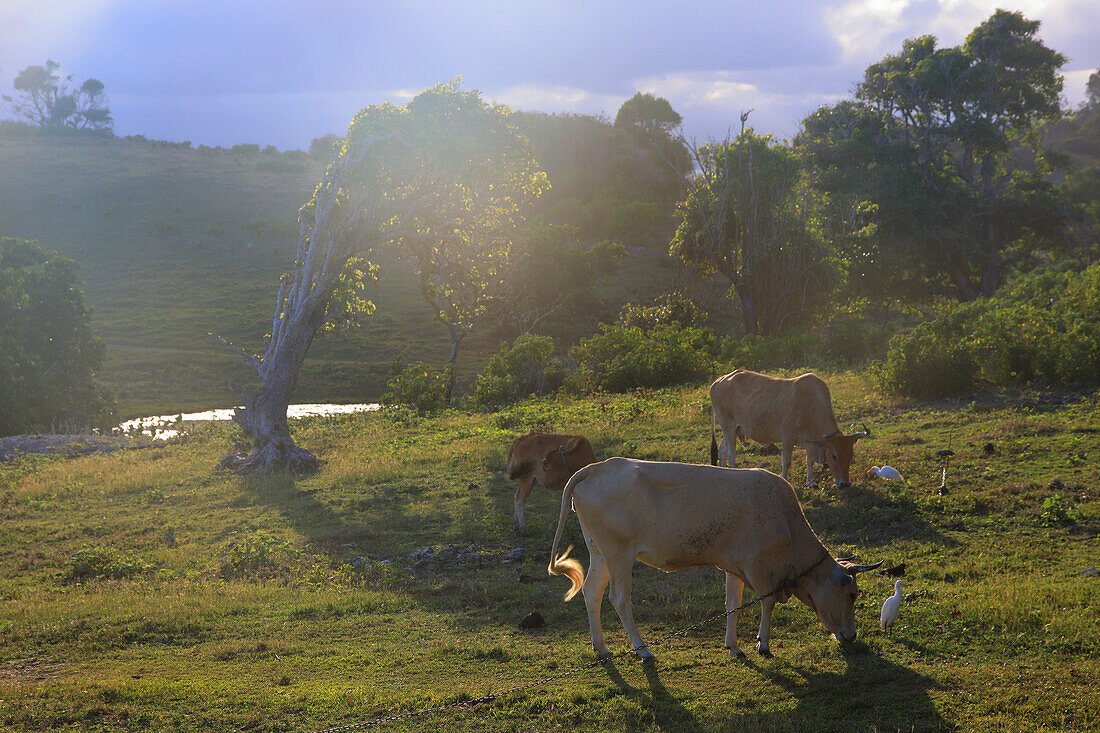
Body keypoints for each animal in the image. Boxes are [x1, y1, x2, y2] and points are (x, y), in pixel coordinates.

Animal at [550, 457, 884, 655]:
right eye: (853, 594)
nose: (851, 635)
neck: (785, 518)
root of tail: (598, 467)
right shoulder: (758, 568)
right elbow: (767, 603)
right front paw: (763, 643)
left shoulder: (733, 566)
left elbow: (732, 604)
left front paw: (733, 646)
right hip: (618, 553)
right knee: (619, 598)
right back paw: (642, 649)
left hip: (599, 552)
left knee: (592, 591)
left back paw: (601, 647)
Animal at [708, 372, 871, 484]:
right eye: (834, 455)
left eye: (850, 455)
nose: (845, 484)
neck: (810, 405)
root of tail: (718, 381)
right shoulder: (787, 437)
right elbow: (787, 462)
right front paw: (785, 479)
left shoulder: (810, 441)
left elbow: (810, 460)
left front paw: (811, 482)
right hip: (727, 425)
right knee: (731, 453)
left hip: (733, 429)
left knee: (723, 450)